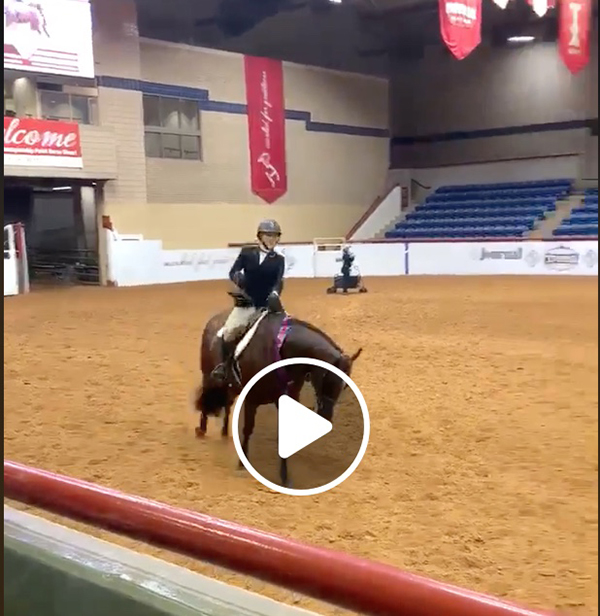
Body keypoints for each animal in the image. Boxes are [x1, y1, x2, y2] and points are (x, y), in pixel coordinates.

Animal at [193, 304, 360, 486]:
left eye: (344, 385)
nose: (326, 415)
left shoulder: (286, 399)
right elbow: (247, 429)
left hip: (231, 386)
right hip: (209, 376)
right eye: (327, 377)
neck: (282, 353)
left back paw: (223, 433)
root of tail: (214, 320)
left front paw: (284, 476)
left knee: (227, 404)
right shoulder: (251, 398)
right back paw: (202, 430)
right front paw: (242, 464)